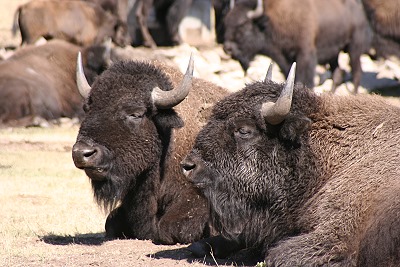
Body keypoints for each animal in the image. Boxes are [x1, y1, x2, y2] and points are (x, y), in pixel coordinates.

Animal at [223, 0, 374, 93]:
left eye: (244, 26)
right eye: (227, 23)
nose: (227, 48)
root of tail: (359, 12)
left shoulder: (305, 54)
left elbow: (304, 81)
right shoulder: (285, 60)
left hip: (354, 48)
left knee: (356, 72)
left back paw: (353, 94)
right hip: (334, 54)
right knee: (337, 74)